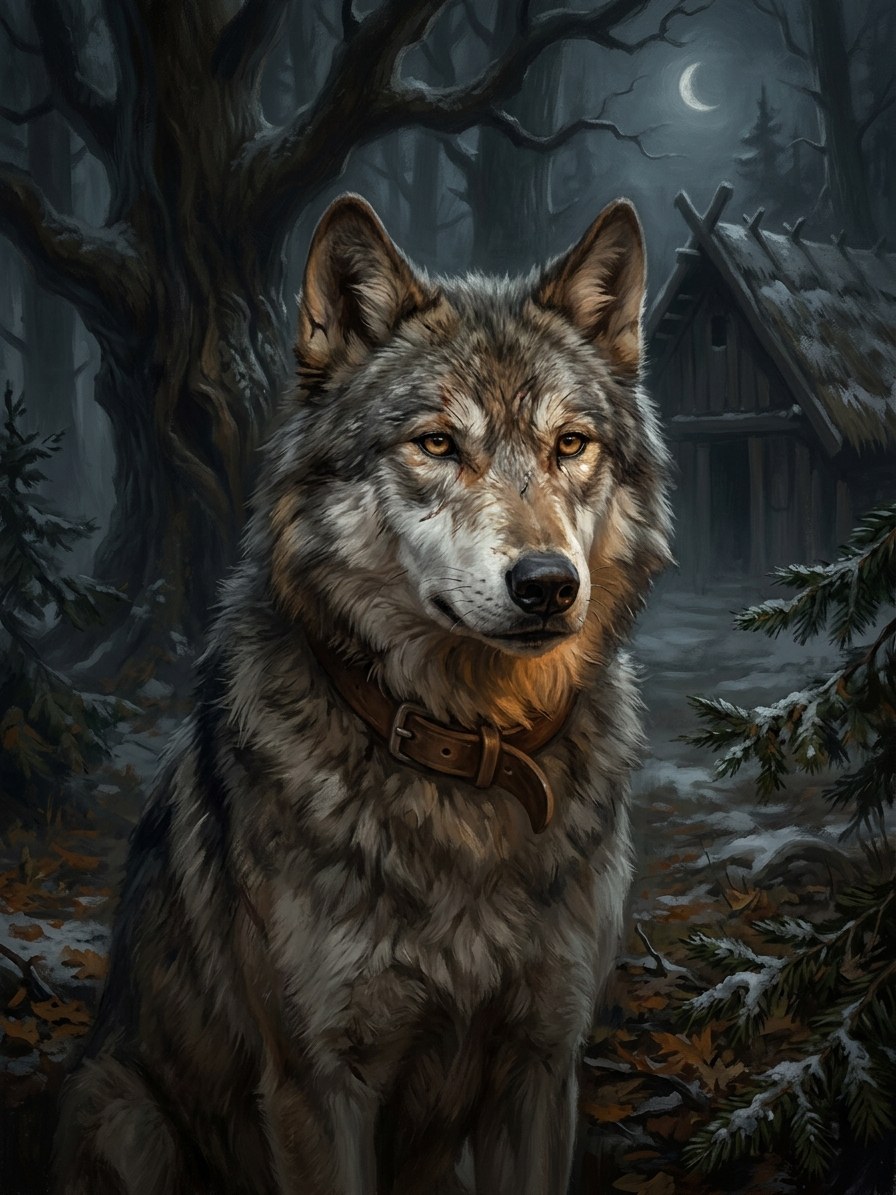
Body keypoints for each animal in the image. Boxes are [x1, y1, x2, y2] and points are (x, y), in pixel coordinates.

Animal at [53, 193, 671, 1194]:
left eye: (570, 444)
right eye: (438, 444)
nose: (548, 584)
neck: (468, 751)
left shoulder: (541, 1065)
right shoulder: (315, 1083)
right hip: (128, 1118)